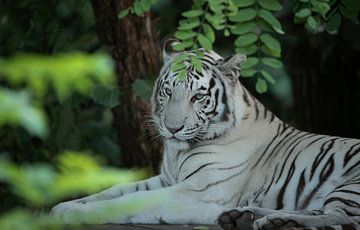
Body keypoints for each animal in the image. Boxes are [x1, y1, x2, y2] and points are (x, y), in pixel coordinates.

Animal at [51, 41, 360, 230]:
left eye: (198, 96)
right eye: (167, 92)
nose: (172, 128)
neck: (178, 152)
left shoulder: (201, 192)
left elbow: (127, 202)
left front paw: (75, 214)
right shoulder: (167, 179)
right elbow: (112, 191)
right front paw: (62, 207)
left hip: (349, 187)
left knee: (342, 220)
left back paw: (280, 223)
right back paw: (249, 217)